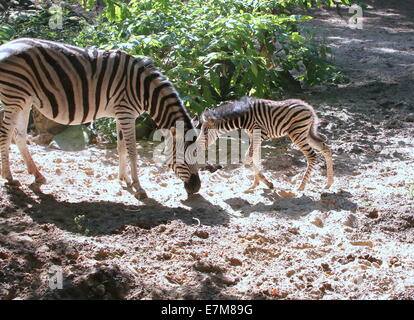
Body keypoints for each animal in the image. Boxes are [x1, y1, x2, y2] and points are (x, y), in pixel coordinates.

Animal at [0, 38, 201, 199]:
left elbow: (121, 148)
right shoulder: (126, 113)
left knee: (19, 136)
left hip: (25, 100)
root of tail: (6, 45)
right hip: (14, 98)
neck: (144, 90)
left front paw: (124, 179)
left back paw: (37, 176)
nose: (197, 188)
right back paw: (9, 177)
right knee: (5, 135)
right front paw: (138, 187)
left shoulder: (121, 114)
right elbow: (132, 151)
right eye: (187, 155)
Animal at [196, 96, 334, 191]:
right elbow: (255, 157)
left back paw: (301, 186)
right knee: (326, 149)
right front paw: (255, 184)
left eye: (205, 131)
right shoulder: (253, 136)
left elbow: (248, 157)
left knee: (312, 155)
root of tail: (309, 108)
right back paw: (328, 183)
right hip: (306, 133)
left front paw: (266, 183)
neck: (244, 116)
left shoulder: (259, 133)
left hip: (297, 134)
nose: (196, 148)